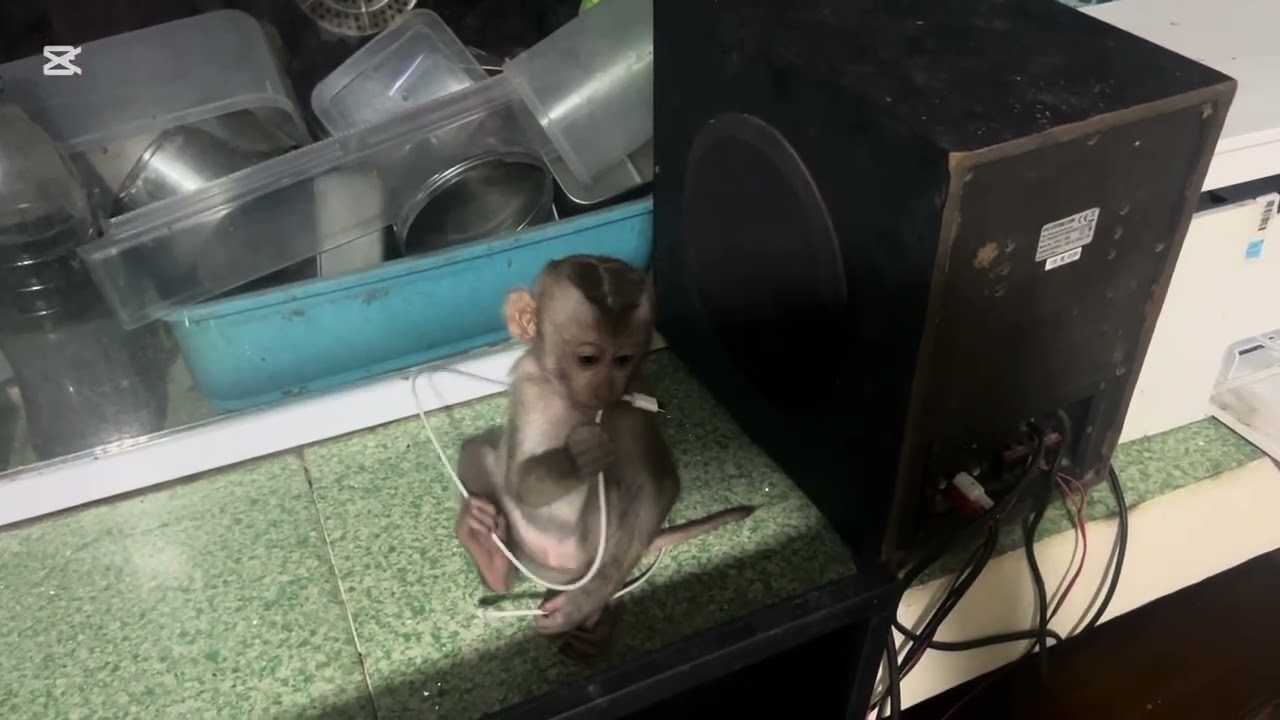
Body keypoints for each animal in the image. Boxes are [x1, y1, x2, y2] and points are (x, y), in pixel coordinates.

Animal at [453, 254, 755, 659]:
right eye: (589, 359)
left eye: (624, 359)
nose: (607, 387)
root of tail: (552, 569)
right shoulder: (530, 381)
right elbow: (516, 477)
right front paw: (576, 458)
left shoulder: (634, 401)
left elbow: (656, 484)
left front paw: (582, 604)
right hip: (521, 538)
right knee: (478, 454)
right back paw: (488, 551)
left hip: (590, 545)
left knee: (622, 495)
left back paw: (597, 614)